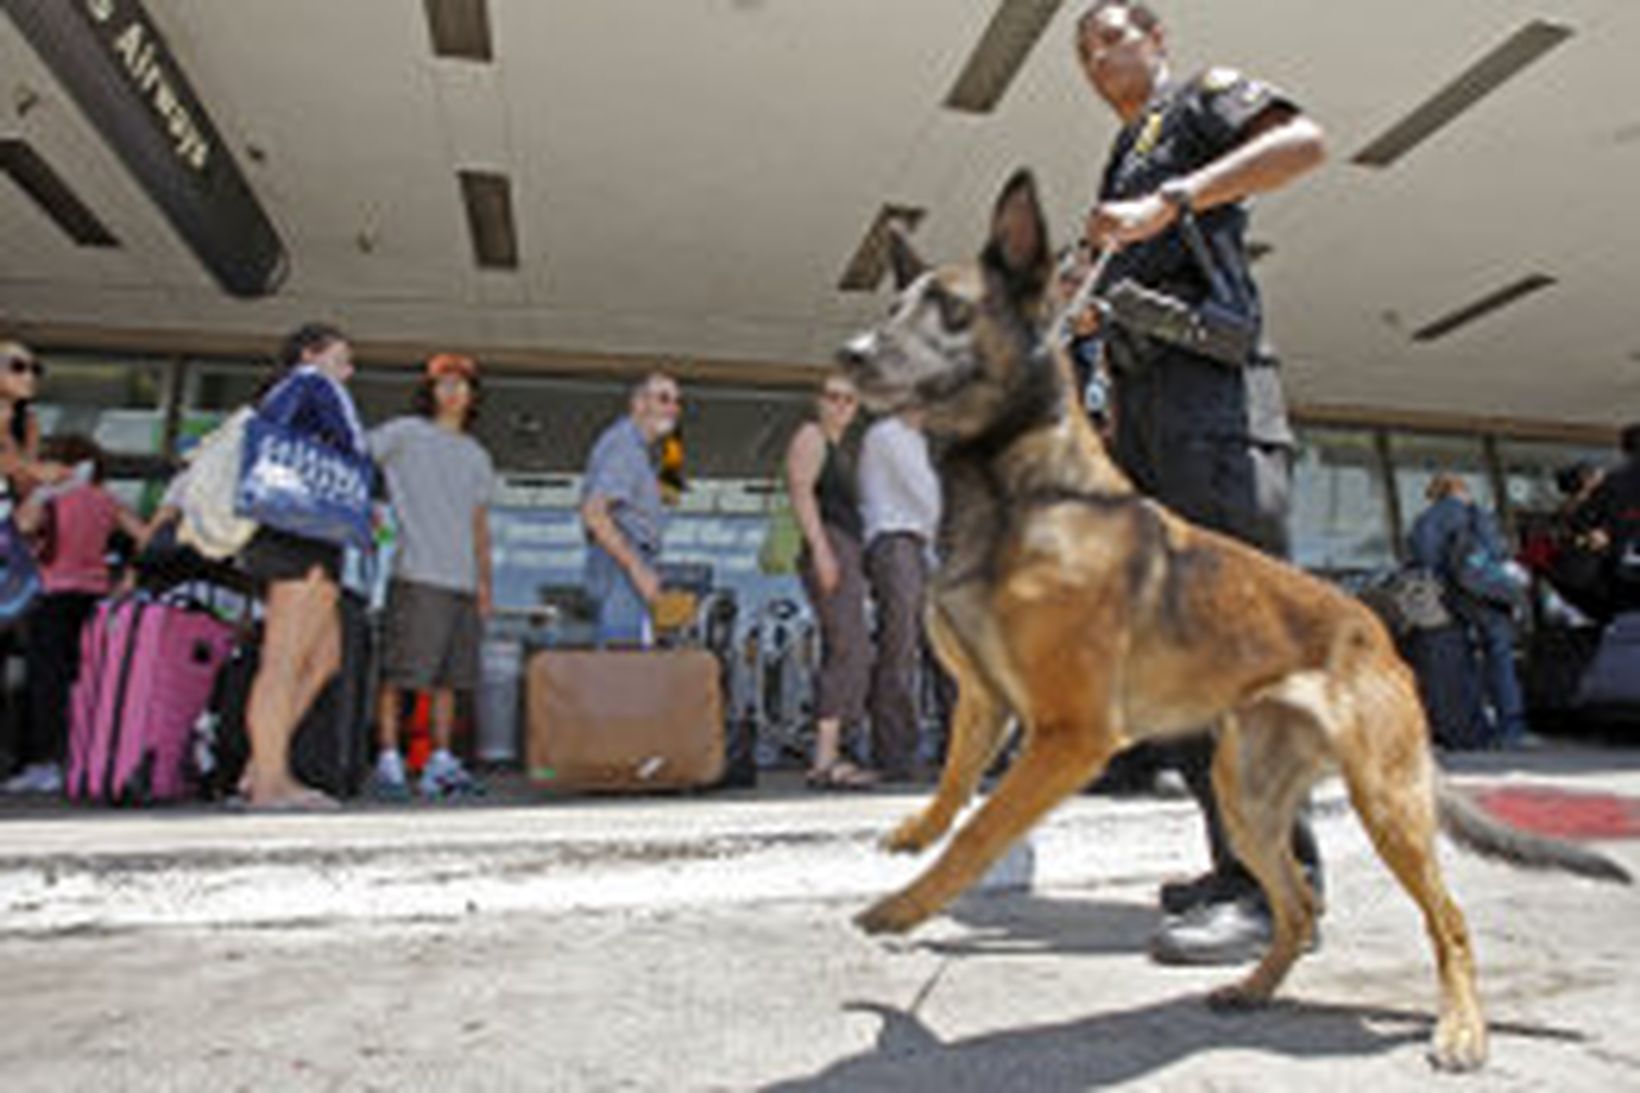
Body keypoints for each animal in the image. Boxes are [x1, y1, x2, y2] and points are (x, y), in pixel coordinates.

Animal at [839, 172, 1633, 1070]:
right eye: (897, 305)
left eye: (950, 308)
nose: (850, 356)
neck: (1020, 490)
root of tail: (1372, 626)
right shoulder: (984, 701)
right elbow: (953, 788)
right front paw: (914, 833)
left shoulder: (1068, 736)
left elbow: (982, 829)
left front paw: (905, 904)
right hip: (1248, 801)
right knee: (1297, 905)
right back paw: (1255, 984)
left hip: (1385, 802)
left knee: (1447, 918)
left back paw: (1461, 1027)